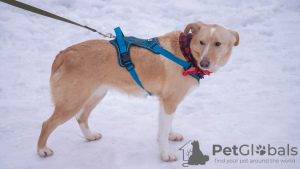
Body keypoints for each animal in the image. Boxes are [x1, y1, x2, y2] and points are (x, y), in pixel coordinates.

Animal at [37, 21, 239, 161]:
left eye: (218, 44)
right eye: (202, 42)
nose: (205, 63)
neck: (186, 53)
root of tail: (64, 54)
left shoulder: (166, 102)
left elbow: (167, 126)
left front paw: (172, 134)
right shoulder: (170, 101)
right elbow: (161, 134)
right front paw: (165, 155)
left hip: (96, 95)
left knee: (81, 118)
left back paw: (90, 136)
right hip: (72, 102)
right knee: (47, 124)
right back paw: (42, 150)